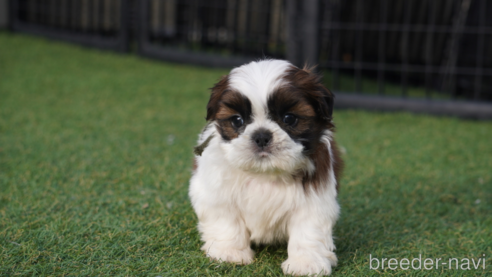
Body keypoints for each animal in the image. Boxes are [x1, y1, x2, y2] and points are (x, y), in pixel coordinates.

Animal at [188, 58, 342, 274]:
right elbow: (226, 220)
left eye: (289, 118)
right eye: (237, 120)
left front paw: (306, 263)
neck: (264, 173)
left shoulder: (315, 199)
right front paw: (229, 253)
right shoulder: (215, 193)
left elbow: (309, 229)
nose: (261, 136)